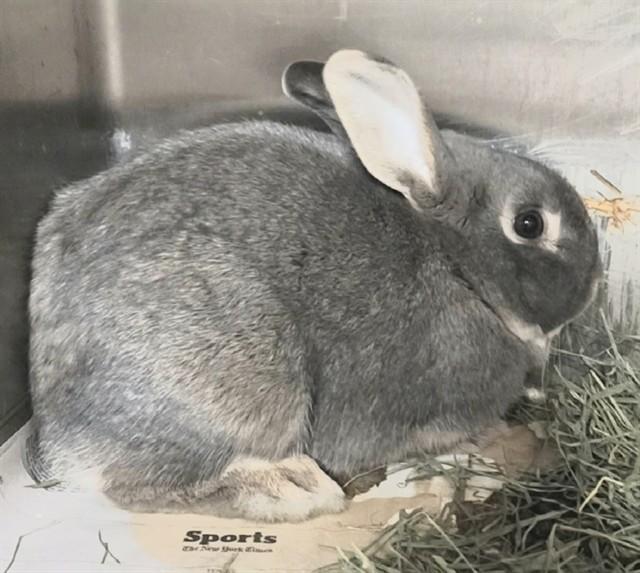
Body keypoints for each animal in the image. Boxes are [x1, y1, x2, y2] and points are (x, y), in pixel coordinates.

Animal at [27, 49, 601, 522]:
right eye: (529, 223)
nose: (596, 282)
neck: (457, 267)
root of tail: (59, 437)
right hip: (245, 385)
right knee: (135, 488)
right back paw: (290, 490)